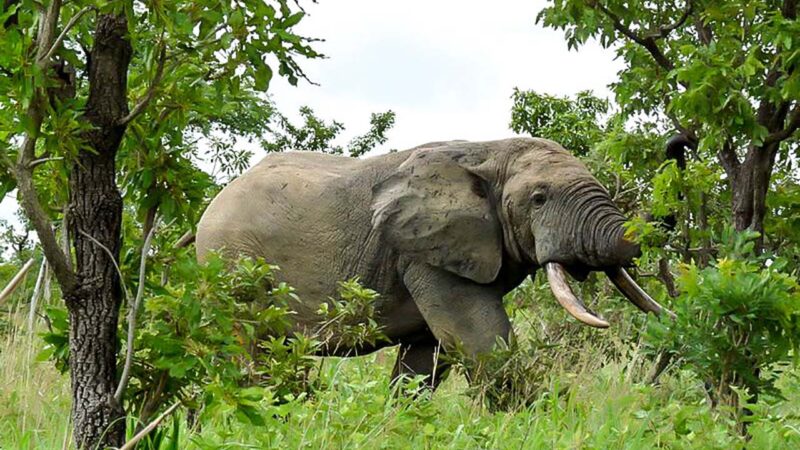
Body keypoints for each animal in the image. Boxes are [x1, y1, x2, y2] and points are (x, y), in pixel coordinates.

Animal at [197, 137, 664, 386]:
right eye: (538, 198)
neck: (486, 149)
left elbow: (426, 360)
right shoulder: (422, 252)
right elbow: (481, 341)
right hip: (231, 262)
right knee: (248, 352)